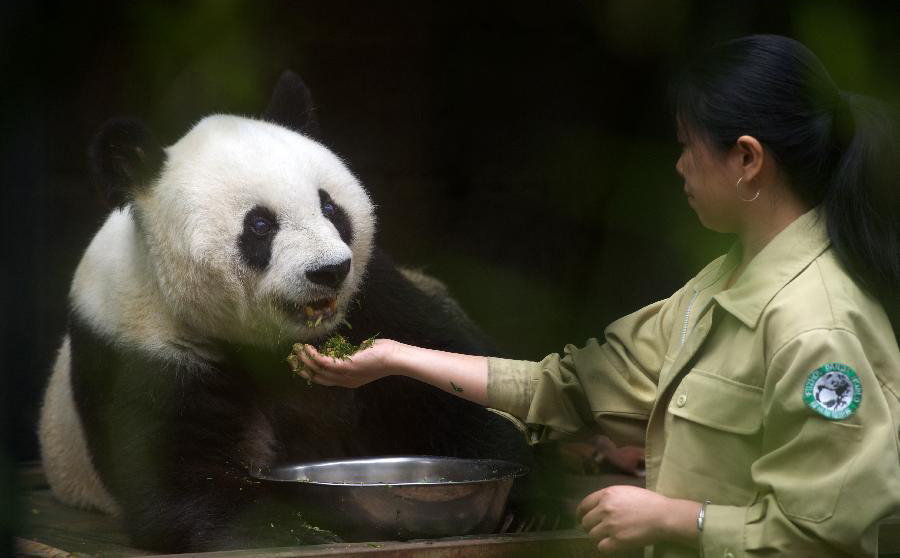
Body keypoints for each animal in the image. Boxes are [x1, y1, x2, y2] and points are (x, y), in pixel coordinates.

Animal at [38, 72, 532, 552]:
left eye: (330, 207)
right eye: (260, 225)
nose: (329, 271)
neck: (272, 342)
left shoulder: (374, 293)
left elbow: (440, 379)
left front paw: (523, 499)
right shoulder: (137, 342)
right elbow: (173, 464)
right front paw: (288, 529)